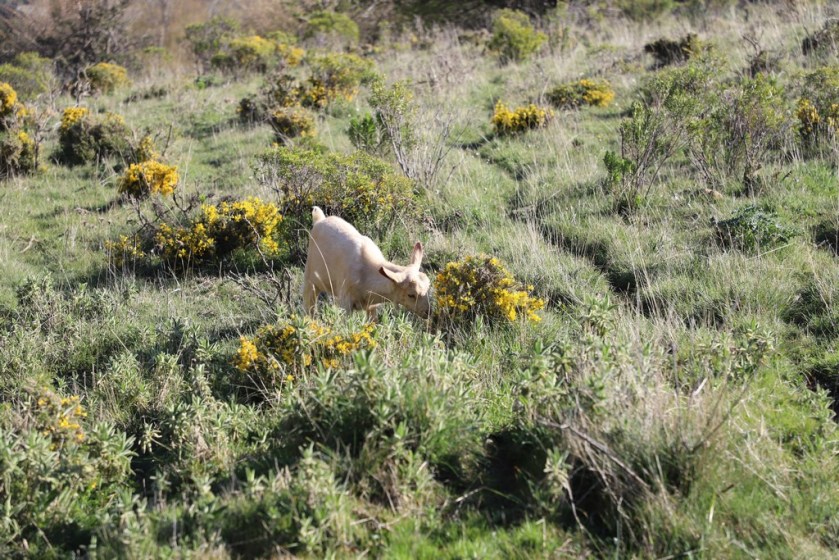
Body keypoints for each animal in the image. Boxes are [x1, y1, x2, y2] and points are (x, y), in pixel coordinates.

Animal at [303, 207, 431, 319]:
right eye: (411, 295)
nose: (427, 312)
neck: (366, 273)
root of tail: (320, 219)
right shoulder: (345, 301)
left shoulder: (371, 306)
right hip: (310, 279)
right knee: (309, 307)